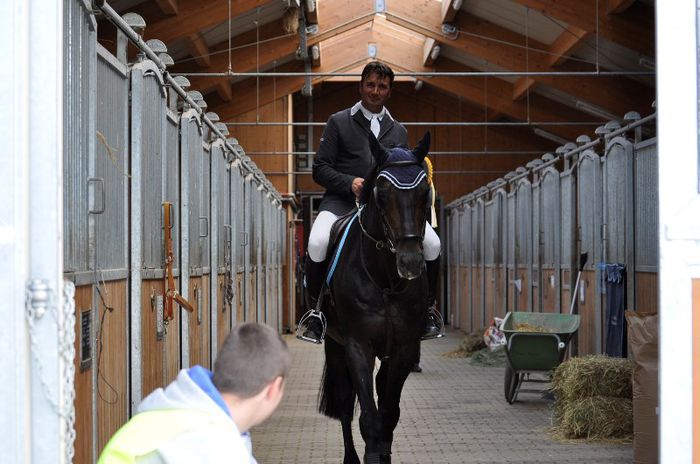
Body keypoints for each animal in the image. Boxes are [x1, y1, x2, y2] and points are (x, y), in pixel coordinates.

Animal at [318, 131, 432, 464]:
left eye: (425, 192)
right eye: (382, 194)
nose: (410, 262)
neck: (385, 280)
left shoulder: (405, 348)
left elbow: (388, 414)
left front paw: (384, 454)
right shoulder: (358, 347)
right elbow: (368, 417)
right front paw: (370, 455)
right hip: (334, 343)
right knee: (345, 403)